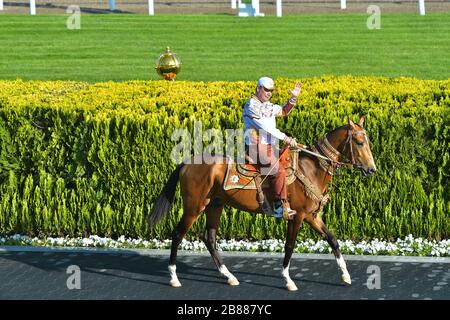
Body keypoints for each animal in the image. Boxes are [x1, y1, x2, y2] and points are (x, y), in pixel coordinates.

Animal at [149, 116, 376, 292]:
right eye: (359, 142)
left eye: (367, 141)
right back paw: (174, 277)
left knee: (209, 238)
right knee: (178, 234)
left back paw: (229, 276)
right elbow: (289, 246)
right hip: (194, 207)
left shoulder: (312, 216)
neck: (311, 167)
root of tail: (187, 163)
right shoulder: (297, 216)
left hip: (214, 205)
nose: (371, 169)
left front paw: (345, 275)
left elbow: (332, 239)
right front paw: (288, 280)